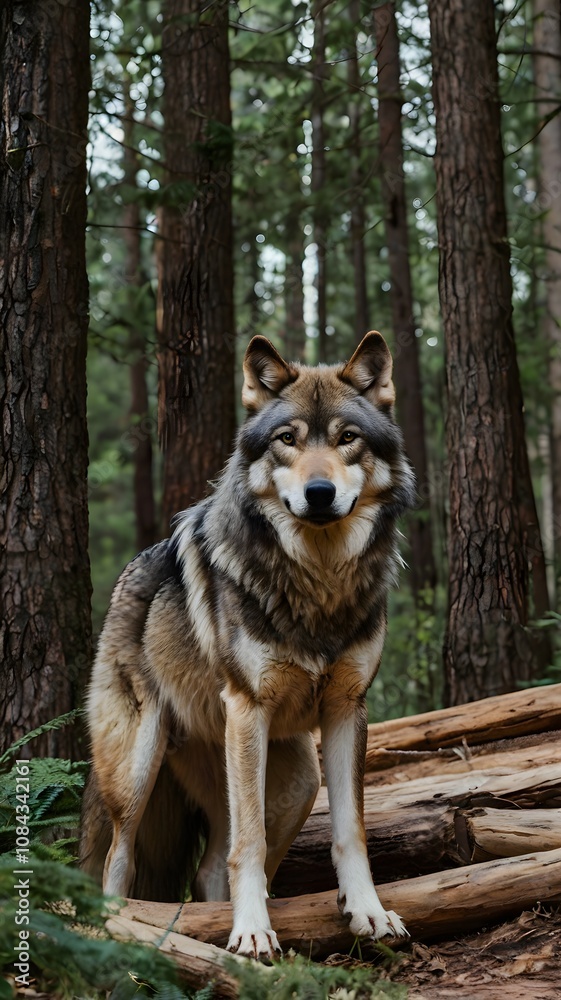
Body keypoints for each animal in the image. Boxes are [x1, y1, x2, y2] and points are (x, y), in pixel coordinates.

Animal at [80, 331, 416, 958]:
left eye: (347, 439)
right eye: (288, 440)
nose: (319, 492)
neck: (318, 582)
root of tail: (124, 578)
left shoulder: (347, 709)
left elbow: (350, 832)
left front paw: (368, 912)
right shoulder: (248, 708)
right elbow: (250, 845)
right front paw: (254, 933)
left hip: (294, 783)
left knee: (211, 866)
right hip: (138, 769)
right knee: (120, 858)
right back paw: (119, 933)